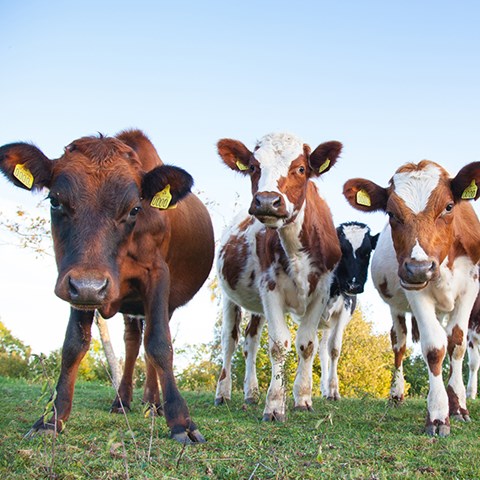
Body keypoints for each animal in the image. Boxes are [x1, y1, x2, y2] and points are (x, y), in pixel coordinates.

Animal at [0, 128, 214, 442]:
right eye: (54, 201)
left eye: (135, 208)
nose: (90, 285)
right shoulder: (76, 283)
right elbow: (73, 344)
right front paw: (52, 417)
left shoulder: (157, 275)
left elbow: (160, 343)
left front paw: (180, 420)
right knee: (132, 343)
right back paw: (124, 401)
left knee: (147, 341)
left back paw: (154, 404)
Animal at [213, 131, 342, 420]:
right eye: (253, 167)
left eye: (301, 169)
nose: (266, 201)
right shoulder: (270, 287)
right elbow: (278, 345)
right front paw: (274, 404)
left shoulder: (321, 290)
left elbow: (306, 344)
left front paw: (302, 398)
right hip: (230, 297)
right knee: (230, 341)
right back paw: (223, 393)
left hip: (257, 306)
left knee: (250, 341)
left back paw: (250, 393)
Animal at [344, 159, 480, 436]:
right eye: (391, 213)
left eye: (449, 207)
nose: (419, 268)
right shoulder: (413, 286)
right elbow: (434, 347)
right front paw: (438, 414)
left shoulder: (470, 287)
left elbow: (456, 343)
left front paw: (458, 406)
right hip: (396, 304)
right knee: (399, 342)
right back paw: (396, 394)